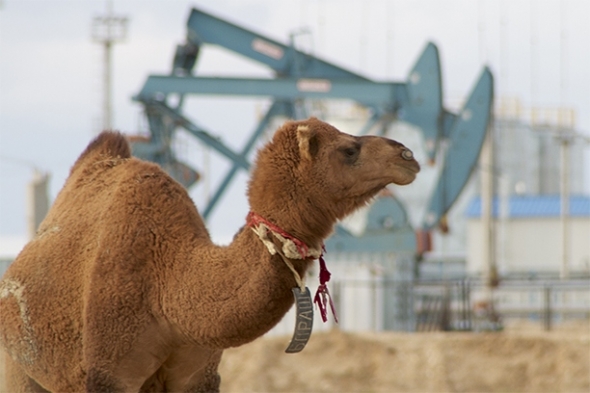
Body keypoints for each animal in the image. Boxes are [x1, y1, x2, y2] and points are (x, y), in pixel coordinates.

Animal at [0, 115, 420, 388]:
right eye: (348, 150)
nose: (407, 156)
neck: (169, 283)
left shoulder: (197, 372)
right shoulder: (109, 371)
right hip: (17, 364)